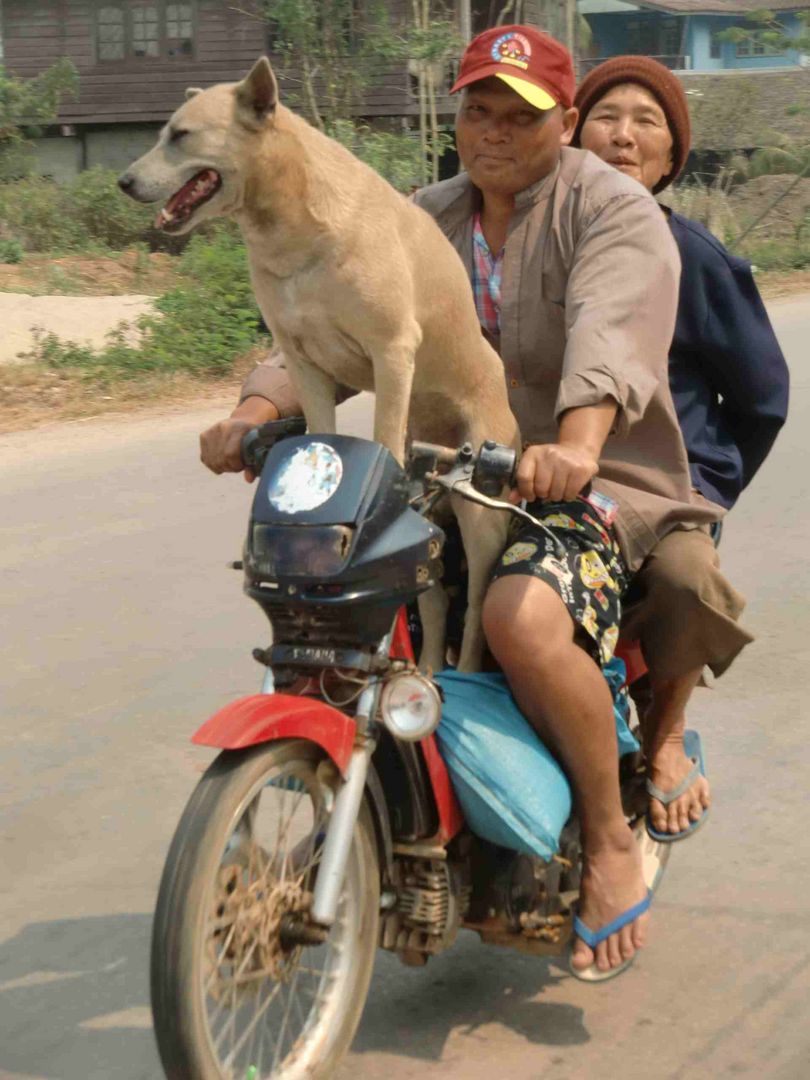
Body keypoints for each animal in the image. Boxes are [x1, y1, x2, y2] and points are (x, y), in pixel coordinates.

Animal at [123, 59, 522, 669]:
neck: (290, 227)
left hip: (481, 511)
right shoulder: (303, 362)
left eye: (181, 135)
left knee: (476, 604)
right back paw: (429, 666)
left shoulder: (392, 351)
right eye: (163, 131)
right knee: (431, 599)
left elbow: (383, 440)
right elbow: (318, 430)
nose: (123, 182)